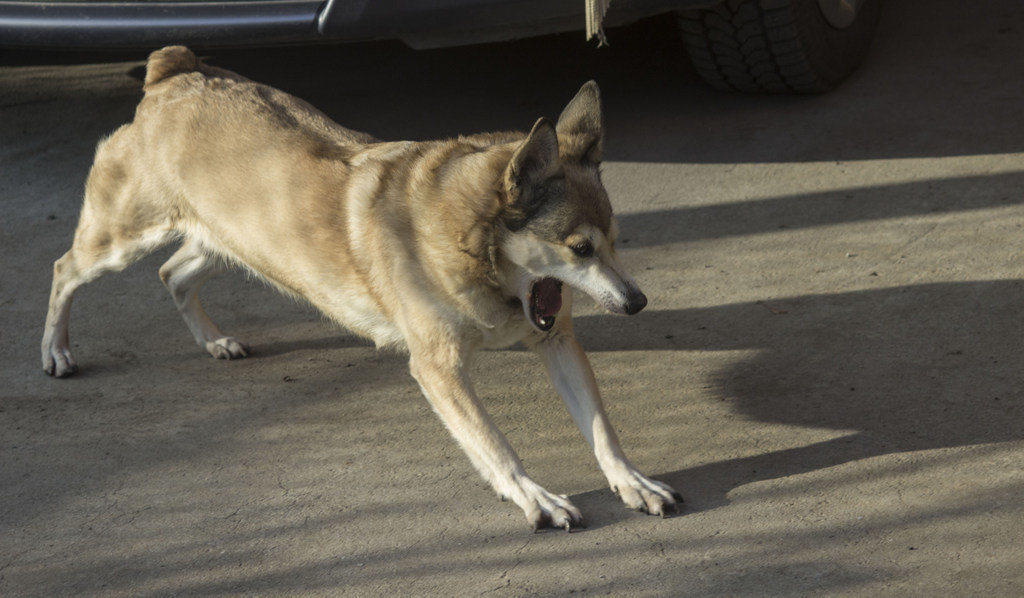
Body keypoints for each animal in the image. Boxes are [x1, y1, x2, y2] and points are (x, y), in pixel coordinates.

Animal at [41, 47, 679, 532]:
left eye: (614, 240)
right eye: (579, 249)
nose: (637, 302)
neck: (473, 244)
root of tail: (174, 73)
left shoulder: (558, 342)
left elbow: (602, 430)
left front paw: (631, 481)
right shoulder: (439, 370)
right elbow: (494, 443)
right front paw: (533, 496)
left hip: (233, 245)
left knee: (172, 274)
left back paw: (213, 340)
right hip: (121, 240)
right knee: (64, 269)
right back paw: (56, 351)